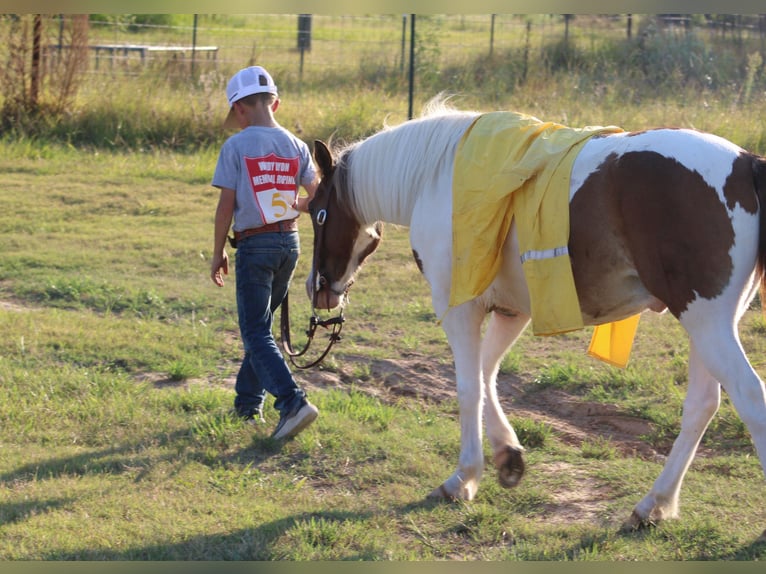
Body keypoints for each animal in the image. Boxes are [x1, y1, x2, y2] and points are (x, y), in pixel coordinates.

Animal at [304, 100, 766, 535]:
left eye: (317, 212)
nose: (317, 287)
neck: (437, 176)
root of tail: (746, 163)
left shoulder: (460, 310)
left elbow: (468, 386)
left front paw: (464, 477)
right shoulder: (512, 311)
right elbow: (486, 374)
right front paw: (507, 454)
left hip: (707, 324)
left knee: (750, 397)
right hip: (706, 328)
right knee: (702, 406)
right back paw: (655, 504)